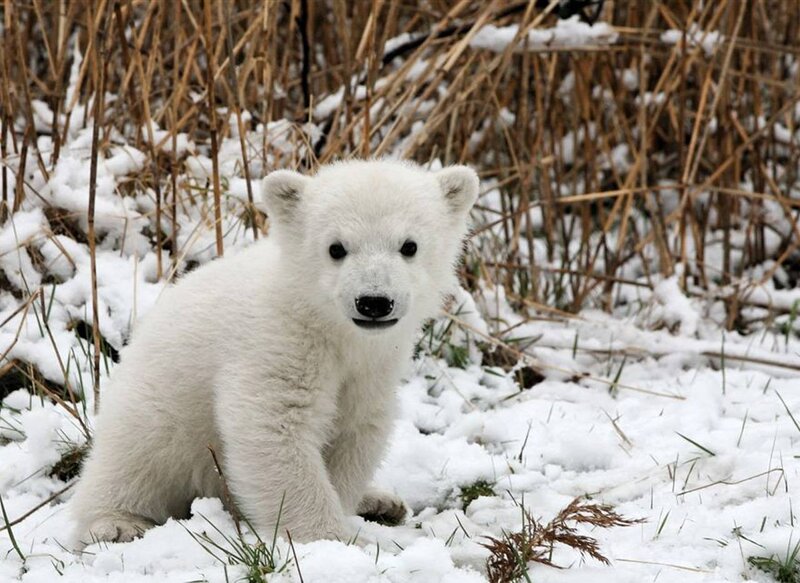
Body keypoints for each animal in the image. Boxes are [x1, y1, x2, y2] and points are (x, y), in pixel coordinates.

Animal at [70, 159, 479, 544]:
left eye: (409, 245)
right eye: (336, 248)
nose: (374, 302)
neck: (326, 323)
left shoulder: (373, 366)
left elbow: (356, 429)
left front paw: (348, 510)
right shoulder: (276, 343)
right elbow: (272, 427)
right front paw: (329, 539)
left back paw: (382, 501)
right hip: (157, 411)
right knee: (133, 460)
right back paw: (116, 523)